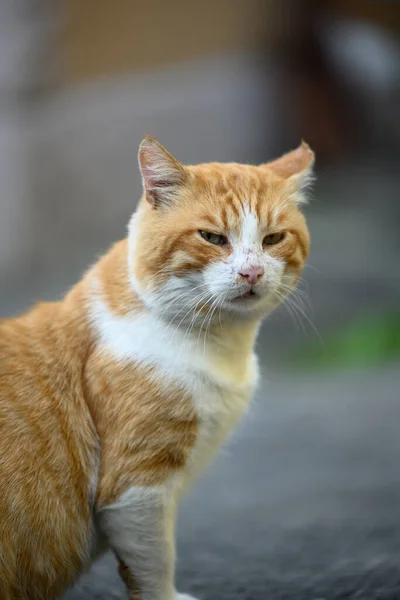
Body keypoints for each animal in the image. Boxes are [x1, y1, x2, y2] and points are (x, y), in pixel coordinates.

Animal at [0, 136, 312, 600]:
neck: (221, 346)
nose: (252, 272)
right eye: (212, 237)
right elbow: (155, 562)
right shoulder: (137, 488)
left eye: (273, 238)